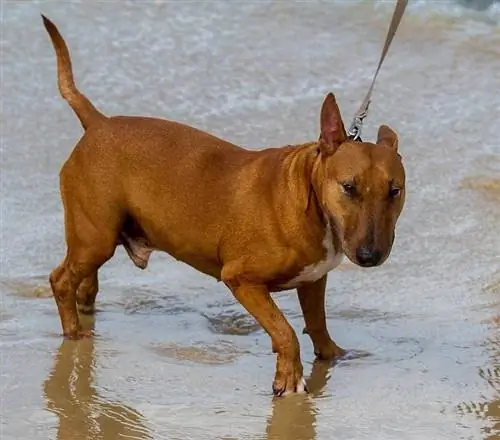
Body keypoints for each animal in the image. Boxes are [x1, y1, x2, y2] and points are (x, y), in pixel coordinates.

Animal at [43, 16, 406, 396]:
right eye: (349, 187)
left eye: (395, 191)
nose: (370, 256)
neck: (307, 194)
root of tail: (98, 123)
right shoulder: (241, 279)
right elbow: (284, 330)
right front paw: (289, 377)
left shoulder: (313, 279)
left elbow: (317, 322)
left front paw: (333, 355)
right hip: (95, 237)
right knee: (61, 280)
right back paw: (73, 334)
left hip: (98, 236)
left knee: (84, 282)